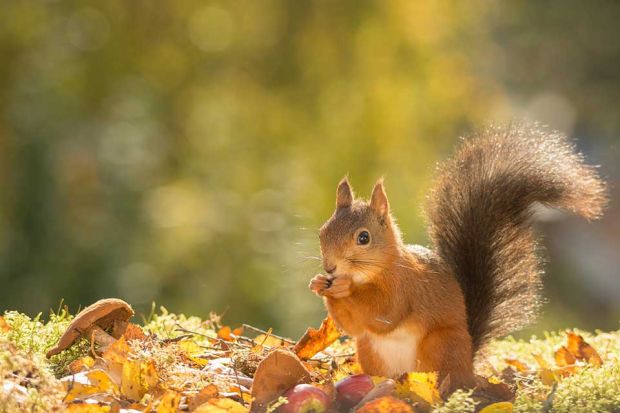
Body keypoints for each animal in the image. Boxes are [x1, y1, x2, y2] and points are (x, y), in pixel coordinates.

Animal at [308, 122, 608, 390]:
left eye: (363, 238)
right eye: (323, 231)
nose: (330, 268)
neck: (370, 274)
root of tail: (468, 362)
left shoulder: (405, 287)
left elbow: (385, 312)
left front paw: (343, 289)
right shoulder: (362, 328)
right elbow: (352, 326)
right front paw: (319, 284)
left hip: (440, 344)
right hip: (369, 350)